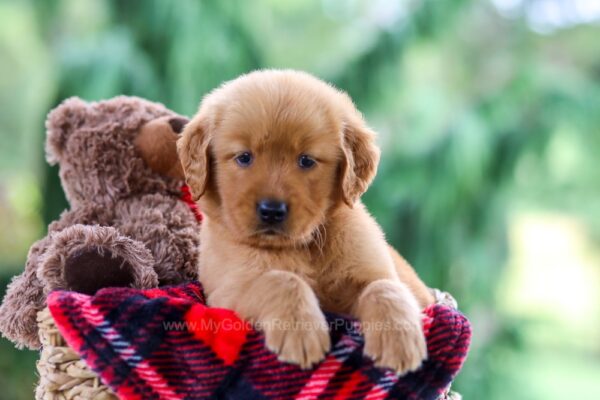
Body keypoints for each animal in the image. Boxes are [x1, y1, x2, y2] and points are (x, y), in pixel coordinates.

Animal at [176, 69, 434, 376]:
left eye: (307, 161)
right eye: (244, 157)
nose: (272, 211)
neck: (303, 246)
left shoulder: (369, 274)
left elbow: (385, 288)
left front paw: (399, 337)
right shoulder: (228, 290)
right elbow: (279, 279)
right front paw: (300, 330)